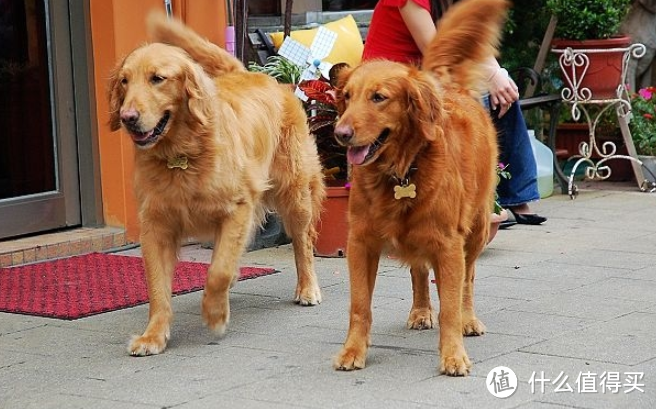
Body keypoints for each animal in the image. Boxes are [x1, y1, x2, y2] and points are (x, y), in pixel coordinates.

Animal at [109, 14, 326, 356]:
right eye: (124, 81)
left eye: (158, 79)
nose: (127, 117)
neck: (180, 156)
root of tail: (251, 73)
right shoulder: (155, 224)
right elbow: (157, 286)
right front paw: (153, 336)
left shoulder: (237, 208)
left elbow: (218, 270)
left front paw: (214, 314)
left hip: (295, 194)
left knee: (303, 242)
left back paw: (307, 288)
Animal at [334, 0, 508, 374]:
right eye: (347, 97)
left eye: (379, 97)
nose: (340, 134)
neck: (401, 172)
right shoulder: (360, 242)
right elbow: (359, 306)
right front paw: (353, 351)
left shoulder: (449, 244)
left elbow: (452, 306)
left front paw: (453, 354)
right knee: (419, 269)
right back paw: (421, 311)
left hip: (476, 228)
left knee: (467, 281)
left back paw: (469, 320)